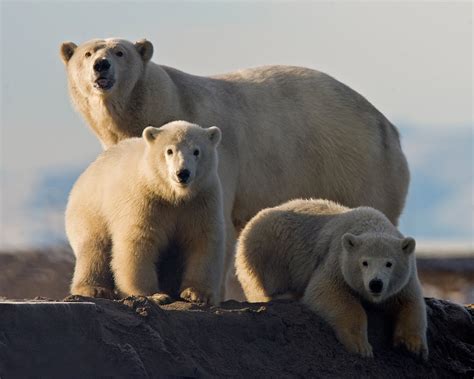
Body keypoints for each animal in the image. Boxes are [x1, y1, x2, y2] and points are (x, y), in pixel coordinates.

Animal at [60, 38, 412, 300]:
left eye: (120, 52)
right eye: (88, 52)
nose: (101, 65)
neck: (169, 101)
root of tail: (388, 127)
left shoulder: (219, 154)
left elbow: (217, 225)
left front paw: (205, 294)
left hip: (355, 164)